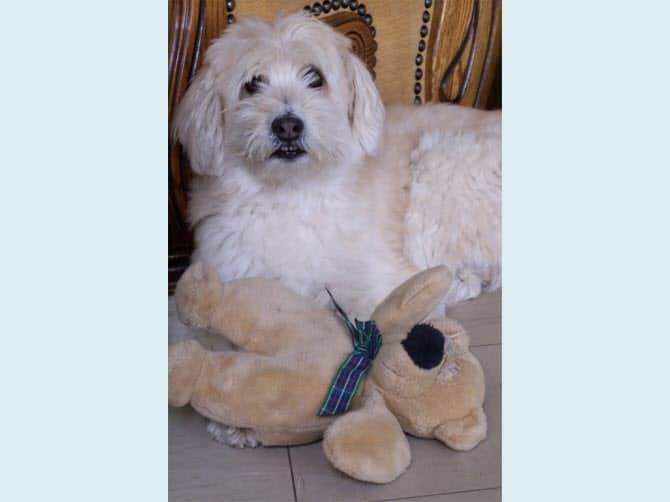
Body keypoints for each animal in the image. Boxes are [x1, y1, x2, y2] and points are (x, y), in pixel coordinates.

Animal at [172, 12, 500, 447]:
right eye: (252, 84)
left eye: (315, 78)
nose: (288, 125)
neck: (291, 194)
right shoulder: (225, 275)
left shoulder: (376, 281)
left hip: (440, 162)